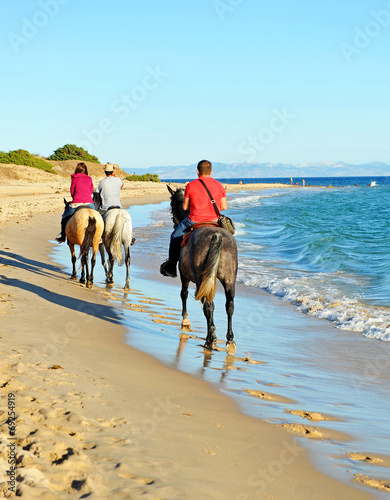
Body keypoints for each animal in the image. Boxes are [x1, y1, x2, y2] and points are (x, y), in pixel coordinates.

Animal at [168, 186, 238, 354]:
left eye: (172, 206)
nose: (174, 222)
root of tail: (217, 235)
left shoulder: (184, 276)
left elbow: (183, 294)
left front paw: (185, 321)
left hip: (202, 280)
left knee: (208, 306)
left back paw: (209, 340)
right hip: (228, 279)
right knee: (229, 305)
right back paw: (229, 341)